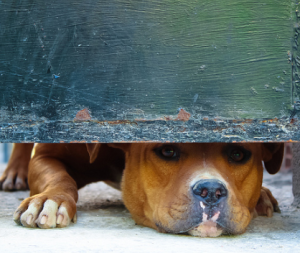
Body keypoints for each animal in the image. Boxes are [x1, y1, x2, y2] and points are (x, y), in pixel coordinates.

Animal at [4, 143, 282, 236]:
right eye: (167, 151)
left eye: (238, 154)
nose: (211, 190)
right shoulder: (47, 154)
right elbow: (60, 177)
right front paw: (49, 200)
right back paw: (14, 172)